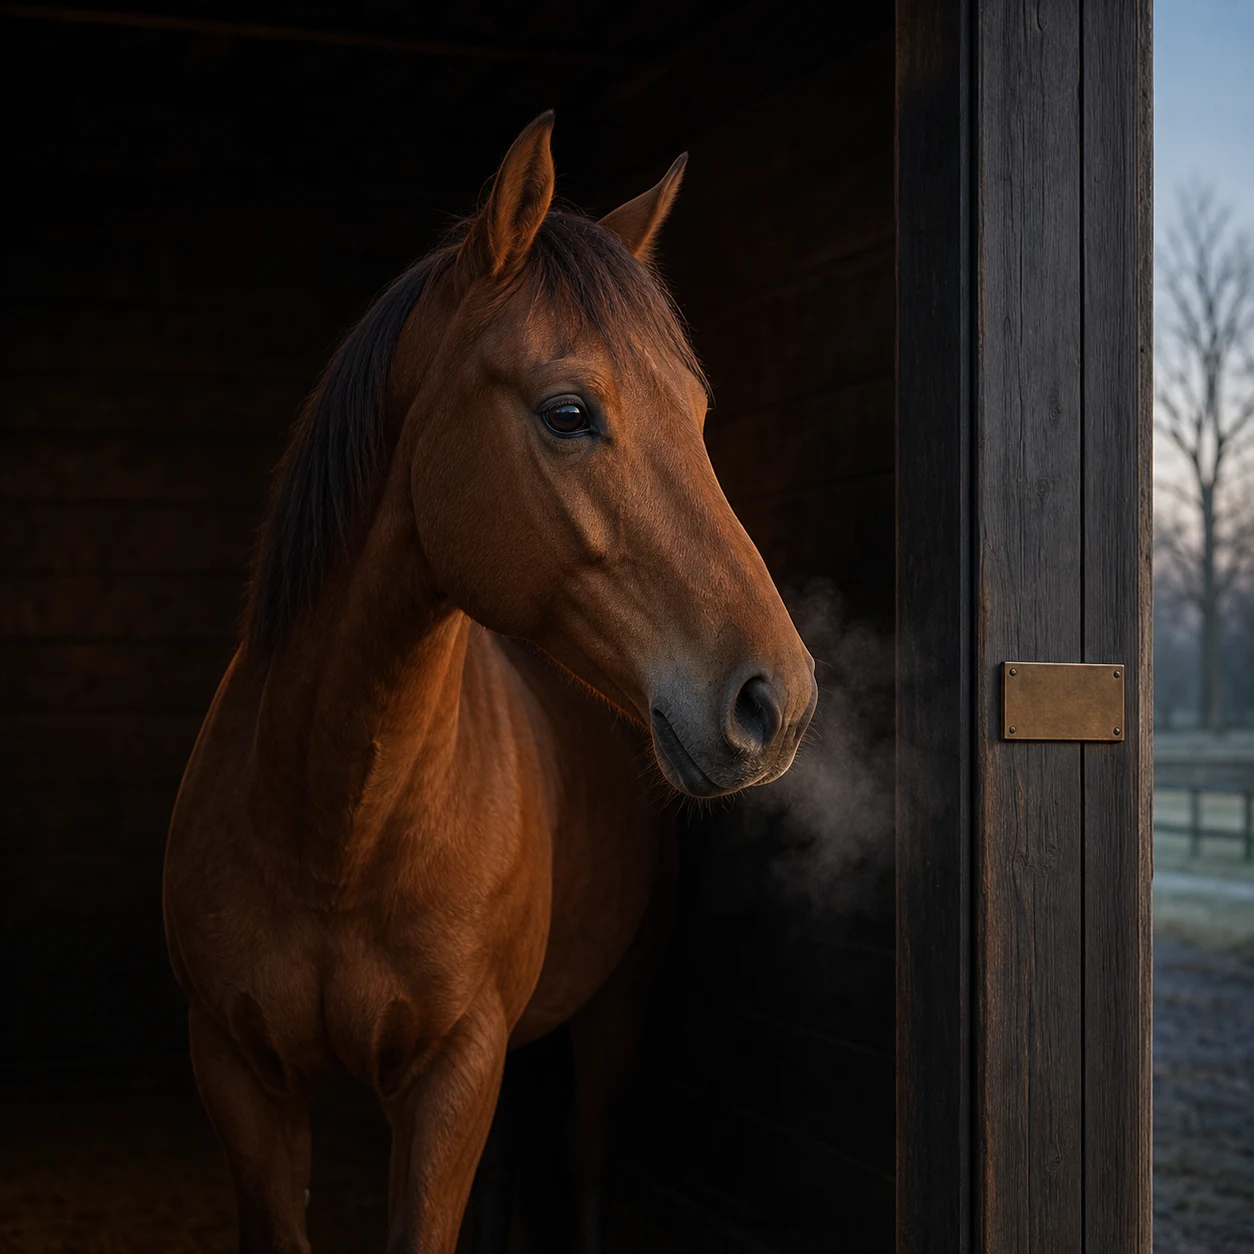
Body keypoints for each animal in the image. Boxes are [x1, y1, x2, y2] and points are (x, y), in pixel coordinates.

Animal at [163, 112, 817, 1254]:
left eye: (695, 411)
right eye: (567, 413)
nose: (774, 700)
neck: (335, 826)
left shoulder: (450, 1079)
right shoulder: (241, 1080)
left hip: (616, 1007)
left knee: (588, 1161)